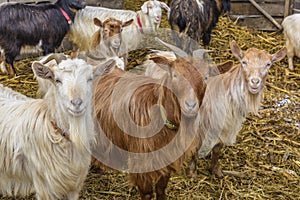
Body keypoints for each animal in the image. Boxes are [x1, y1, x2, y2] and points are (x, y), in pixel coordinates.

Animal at [197, 40, 286, 177]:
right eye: (244, 62)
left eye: (268, 64)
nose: (255, 82)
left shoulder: (227, 126)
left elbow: (217, 148)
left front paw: (216, 171)